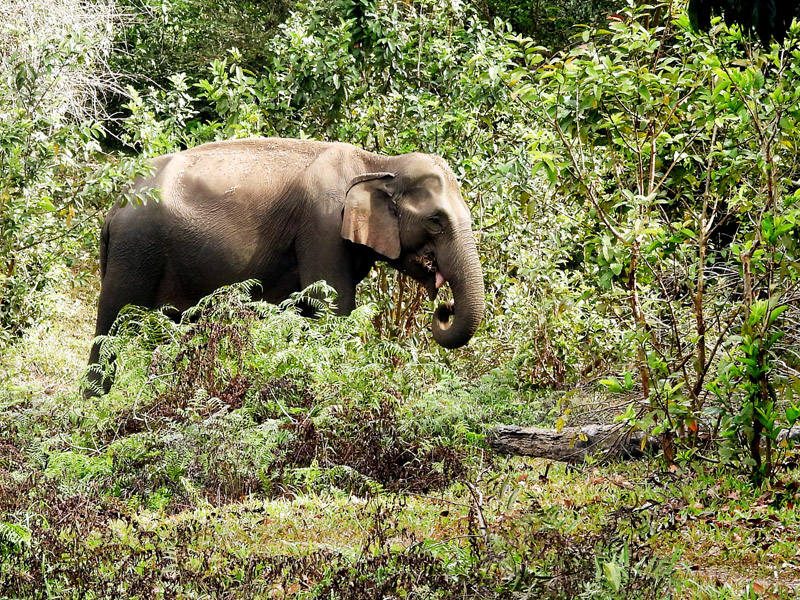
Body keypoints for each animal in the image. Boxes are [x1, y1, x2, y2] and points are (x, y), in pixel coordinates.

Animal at [85, 137, 485, 395]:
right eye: (436, 221)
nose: (445, 308)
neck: (379, 163)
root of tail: (114, 206)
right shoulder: (322, 226)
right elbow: (332, 307)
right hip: (135, 251)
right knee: (112, 322)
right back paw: (97, 403)